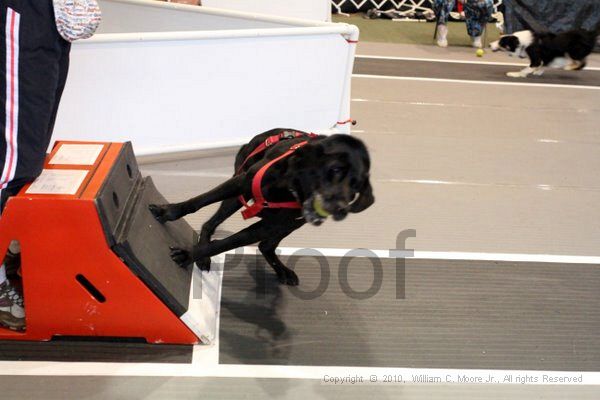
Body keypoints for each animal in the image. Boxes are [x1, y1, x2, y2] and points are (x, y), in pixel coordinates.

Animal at [149, 128, 376, 284]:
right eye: (336, 170)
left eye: (356, 186)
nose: (339, 209)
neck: (292, 187)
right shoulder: (242, 182)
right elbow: (197, 201)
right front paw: (167, 211)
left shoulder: (271, 225)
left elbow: (225, 243)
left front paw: (189, 254)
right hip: (238, 193)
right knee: (210, 223)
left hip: (290, 224)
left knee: (265, 246)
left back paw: (280, 269)